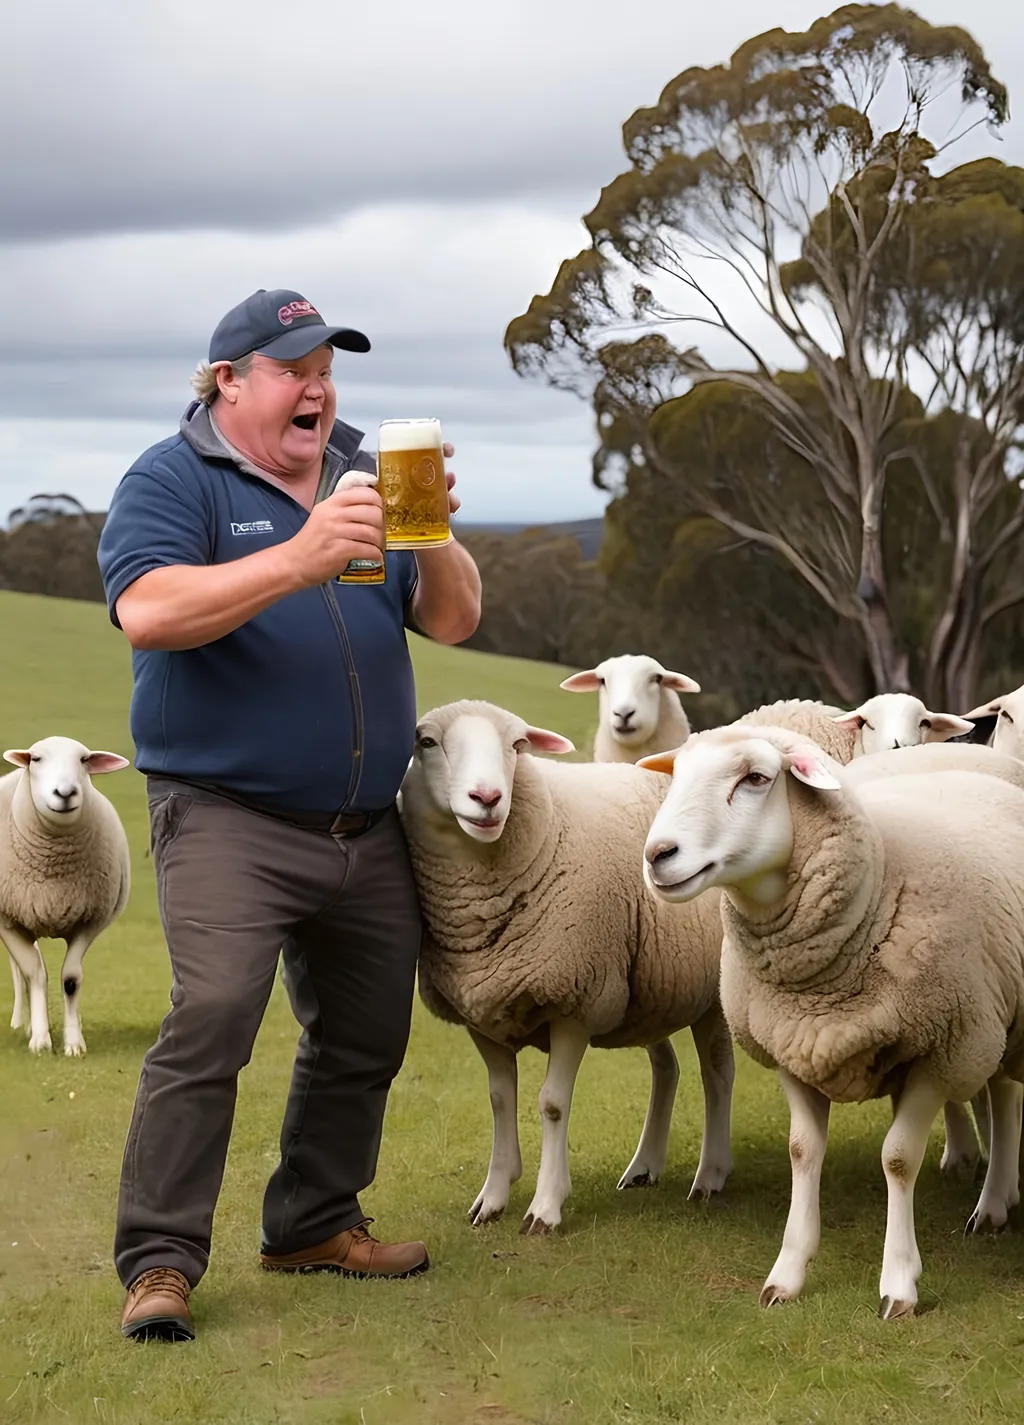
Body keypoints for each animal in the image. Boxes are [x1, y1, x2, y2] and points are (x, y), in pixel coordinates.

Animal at [0, 735, 132, 1060]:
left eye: (84, 760)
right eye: (36, 759)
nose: (66, 792)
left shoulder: (90, 922)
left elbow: (71, 980)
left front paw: (73, 1043)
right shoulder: (6, 920)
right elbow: (34, 974)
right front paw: (40, 1040)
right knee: (18, 971)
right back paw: (21, 1023)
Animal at [395, 695, 734, 1231]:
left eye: (518, 745)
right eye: (426, 742)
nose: (488, 797)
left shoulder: (576, 999)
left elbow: (552, 1103)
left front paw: (546, 1206)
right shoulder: (479, 1013)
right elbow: (499, 1100)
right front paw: (493, 1196)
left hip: (709, 994)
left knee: (717, 1074)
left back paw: (710, 1176)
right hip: (648, 988)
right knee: (667, 1067)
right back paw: (644, 1166)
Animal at [638, 729, 1024, 1316]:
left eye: (756, 778)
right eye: (676, 775)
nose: (658, 856)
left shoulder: (942, 1052)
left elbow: (898, 1159)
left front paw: (899, 1283)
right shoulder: (794, 1048)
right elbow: (803, 1152)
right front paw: (787, 1273)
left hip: (990, 1026)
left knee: (1004, 1098)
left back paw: (995, 1200)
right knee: (1002, 1091)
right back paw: (996, 1202)